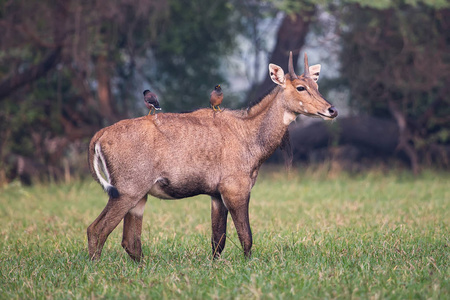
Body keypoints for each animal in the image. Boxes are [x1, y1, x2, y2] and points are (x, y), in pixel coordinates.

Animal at [88, 51, 336, 260]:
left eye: (316, 84)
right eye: (300, 87)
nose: (331, 110)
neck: (249, 134)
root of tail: (100, 135)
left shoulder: (216, 195)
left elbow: (218, 240)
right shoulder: (235, 189)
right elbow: (246, 236)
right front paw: (248, 265)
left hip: (139, 196)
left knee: (130, 241)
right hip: (126, 191)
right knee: (97, 229)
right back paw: (95, 267)